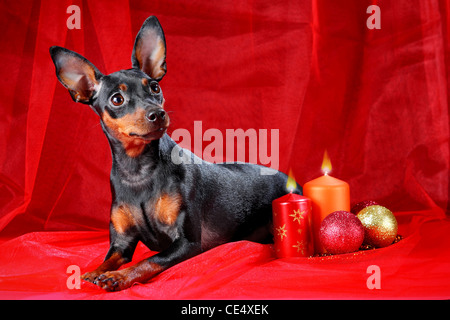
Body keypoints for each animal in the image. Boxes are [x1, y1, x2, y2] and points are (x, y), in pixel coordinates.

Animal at [51, 16, 300, 292]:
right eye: (117, 99)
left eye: (155, 88)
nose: (157, 113)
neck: (138, 169)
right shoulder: (122, 244)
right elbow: (108, 259)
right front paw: (94, 273)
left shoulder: (187, 243)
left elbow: (148, 261)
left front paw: (118, 276)